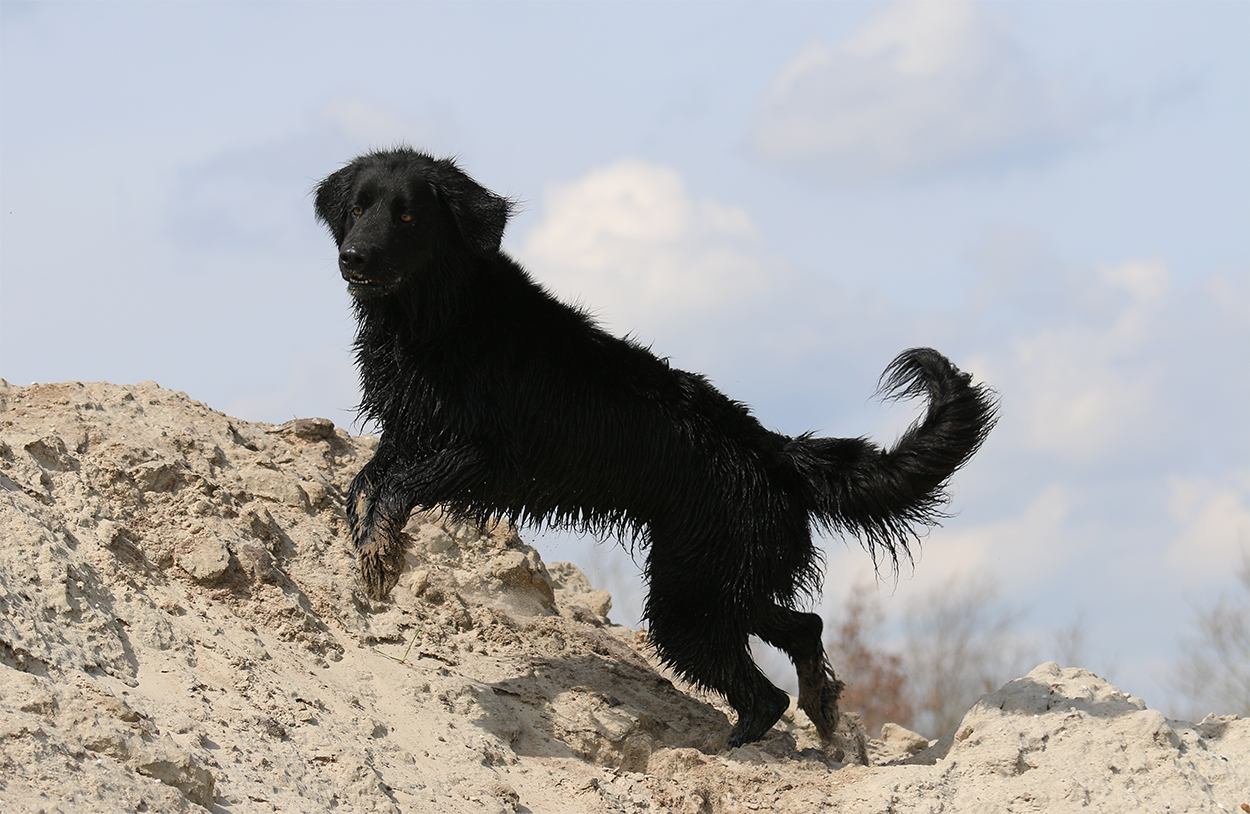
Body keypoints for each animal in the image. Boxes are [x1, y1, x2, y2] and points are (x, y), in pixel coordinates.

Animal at [314, 147, 997, 750]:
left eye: (408, 216)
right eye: (358, 208)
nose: (353, 257)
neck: (438, 316)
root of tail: (774, 451)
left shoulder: (485, 454)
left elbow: (400, 487)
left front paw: (379, 555)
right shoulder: (409, 433)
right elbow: (369, 481)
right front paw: (366, 536)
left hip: (691, 594)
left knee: (765, 694)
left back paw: (730, 751)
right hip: (723, 580)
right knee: (805, 627)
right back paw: (820, 710)